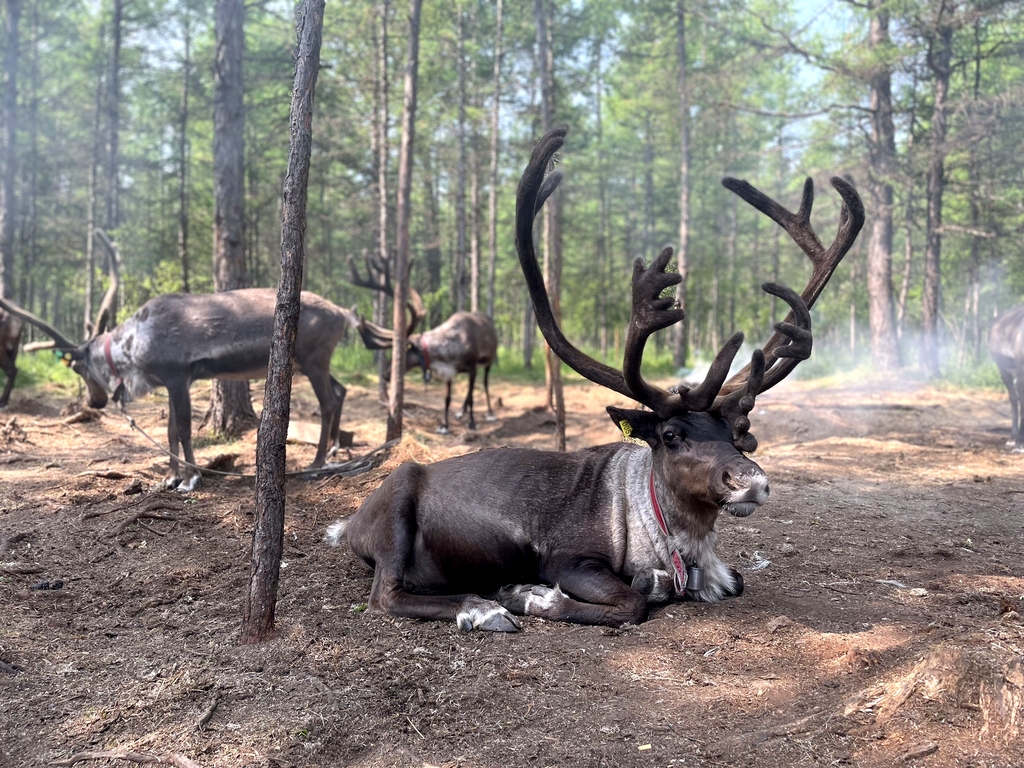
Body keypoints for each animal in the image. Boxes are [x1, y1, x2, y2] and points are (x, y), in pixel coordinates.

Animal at [0, 233, 394, 492]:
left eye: (78, 368)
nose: (94, 402)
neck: (133, 346)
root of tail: (344, 313)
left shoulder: (178, 376)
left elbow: (185, 428)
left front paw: (191, 477)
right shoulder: (175, 382)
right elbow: (170, 429)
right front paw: (170, 476)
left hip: (313, 359)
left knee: (327, 401)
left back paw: (315, 464)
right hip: (315, 363)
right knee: (340, 392)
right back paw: (334, 452)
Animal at [350, 253, 498, 434]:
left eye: (403, 351)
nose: (385, 374)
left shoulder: (471, 366)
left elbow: (471, 397)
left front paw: (472, 423)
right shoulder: (449, 372)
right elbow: (447, 398)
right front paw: (444, 425)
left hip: (489, 360)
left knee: (484, 384)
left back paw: (489, 412)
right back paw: (460, 412)